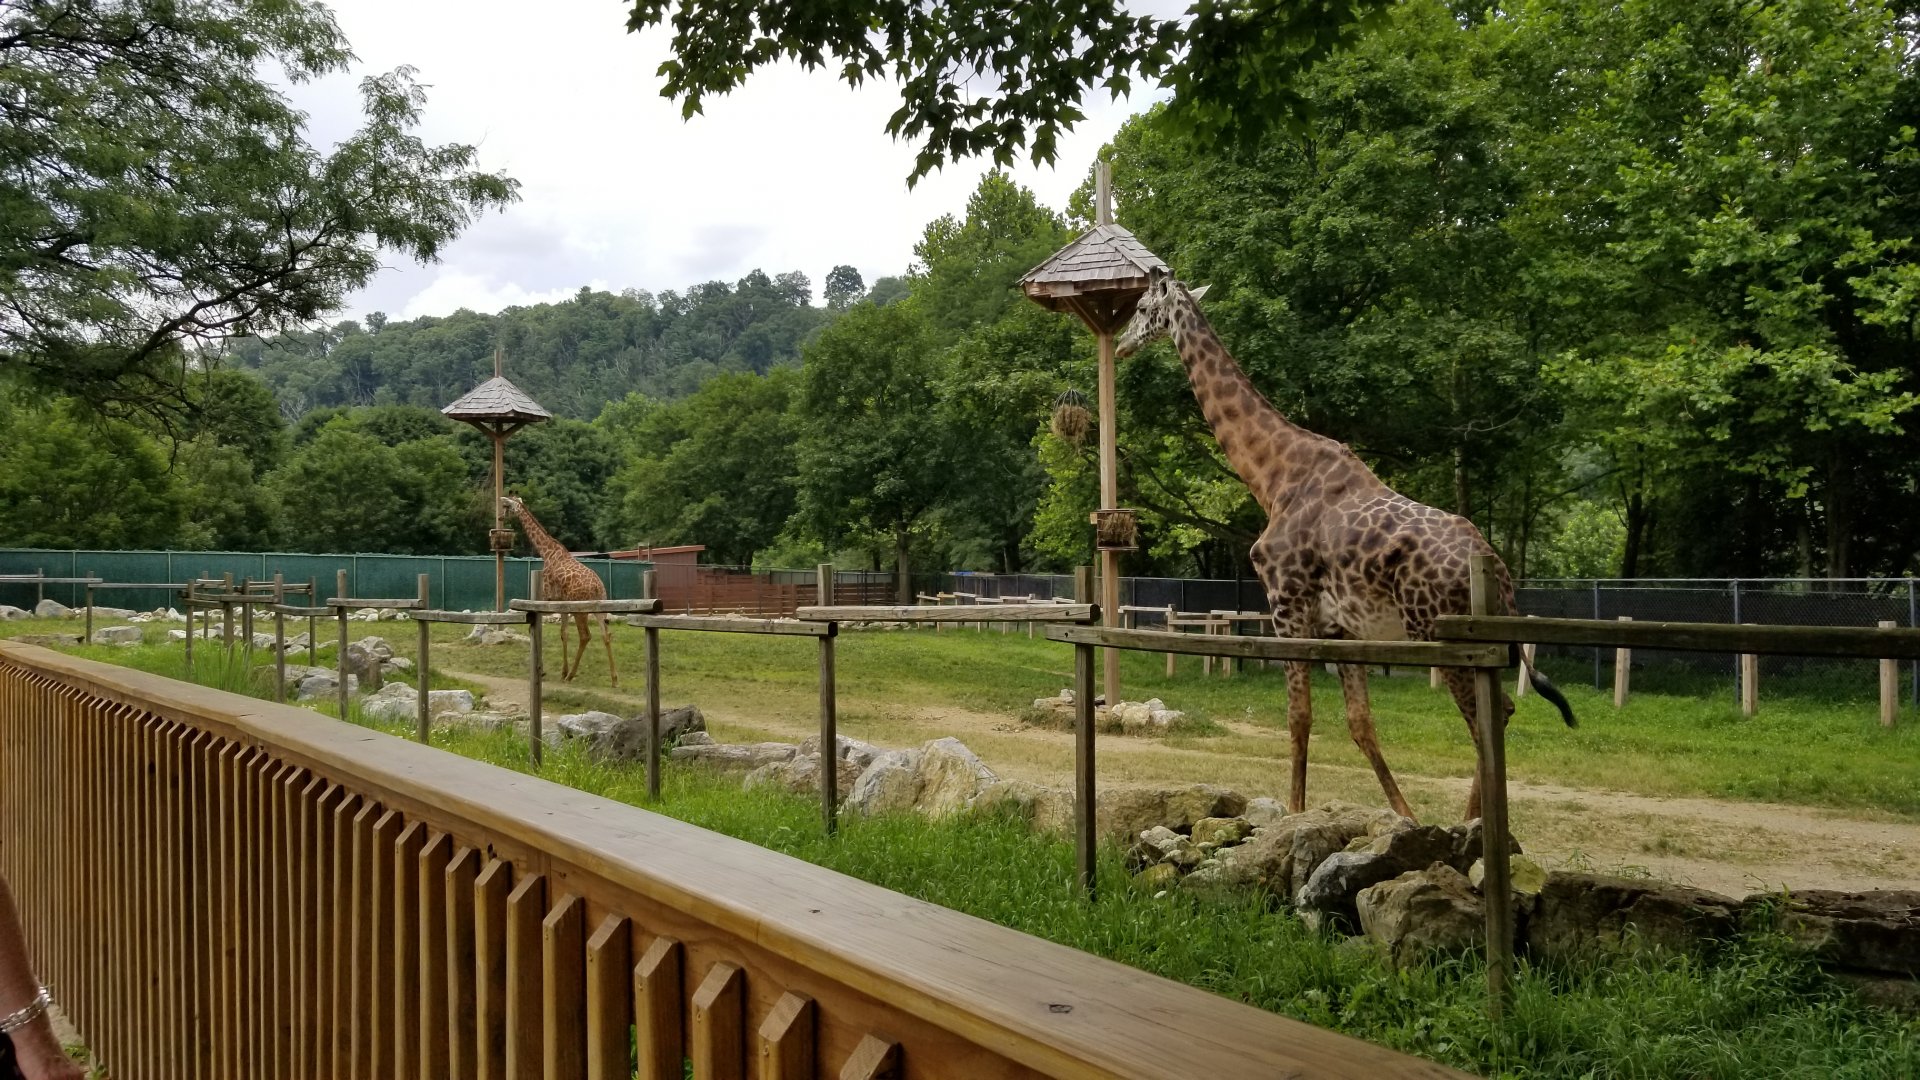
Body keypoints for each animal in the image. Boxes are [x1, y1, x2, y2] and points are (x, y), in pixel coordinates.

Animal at [501, 496, 618, 686]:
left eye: (507, 506)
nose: (500, 517)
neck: (547, 552)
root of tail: (597, 588)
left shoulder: (546, 598)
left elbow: (539, 631)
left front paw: (544, 671)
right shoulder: (562, 603)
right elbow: (564, 633)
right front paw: (562, 672)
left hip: (581, 611)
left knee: (585, 636)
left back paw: (572, 675)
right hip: (599, 608)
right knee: (605, 634)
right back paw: (614, 679)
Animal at [1115, 268, 1574, 821]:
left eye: (1142, 308)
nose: (1119, 346)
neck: (1272, 476)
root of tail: (1500, 574)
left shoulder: (1287, 607)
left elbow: (1299, 718)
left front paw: (1294, 813)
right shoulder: (1343, 629)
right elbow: (1360, 724)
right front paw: (1405, 816)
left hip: (1444, 637)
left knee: (1490, 716)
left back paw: (1474, 824)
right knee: (1495, 713)